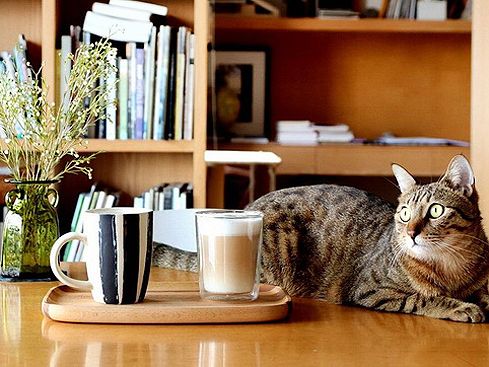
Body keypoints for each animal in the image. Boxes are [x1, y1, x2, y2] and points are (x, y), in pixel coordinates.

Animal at [154, 157, 488, 324]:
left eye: (436, 210)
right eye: (404, 213)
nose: (411, 233)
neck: (451, 266)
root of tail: (249, 207)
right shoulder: (370, 289)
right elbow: (421, 298)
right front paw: (460, 307)